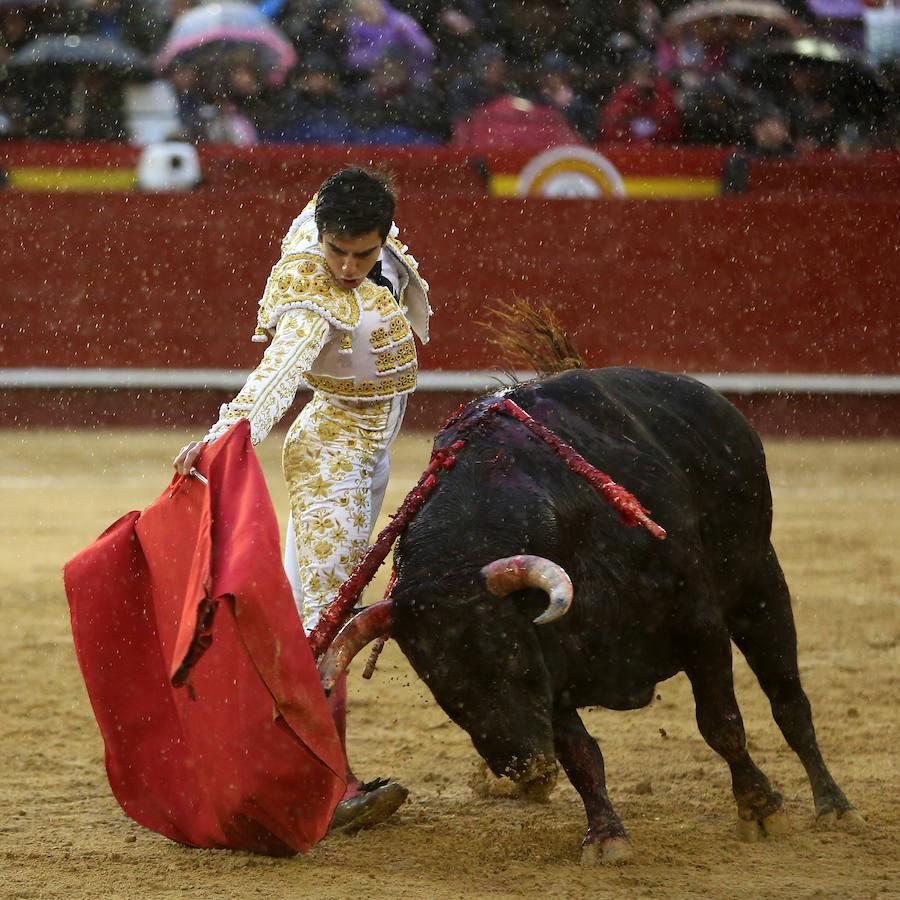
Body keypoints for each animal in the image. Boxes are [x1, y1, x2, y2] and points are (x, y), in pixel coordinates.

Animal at [320, 368, 860, 864]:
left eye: (510, 658)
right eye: (442, 688)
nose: (524, 767)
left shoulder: (699, 627)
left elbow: (721, 723)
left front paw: (760, 807)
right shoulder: (553, 680)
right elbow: (582, 756)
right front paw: (606, 837)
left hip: (759, 582)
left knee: (788, 700)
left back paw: (834, 806)